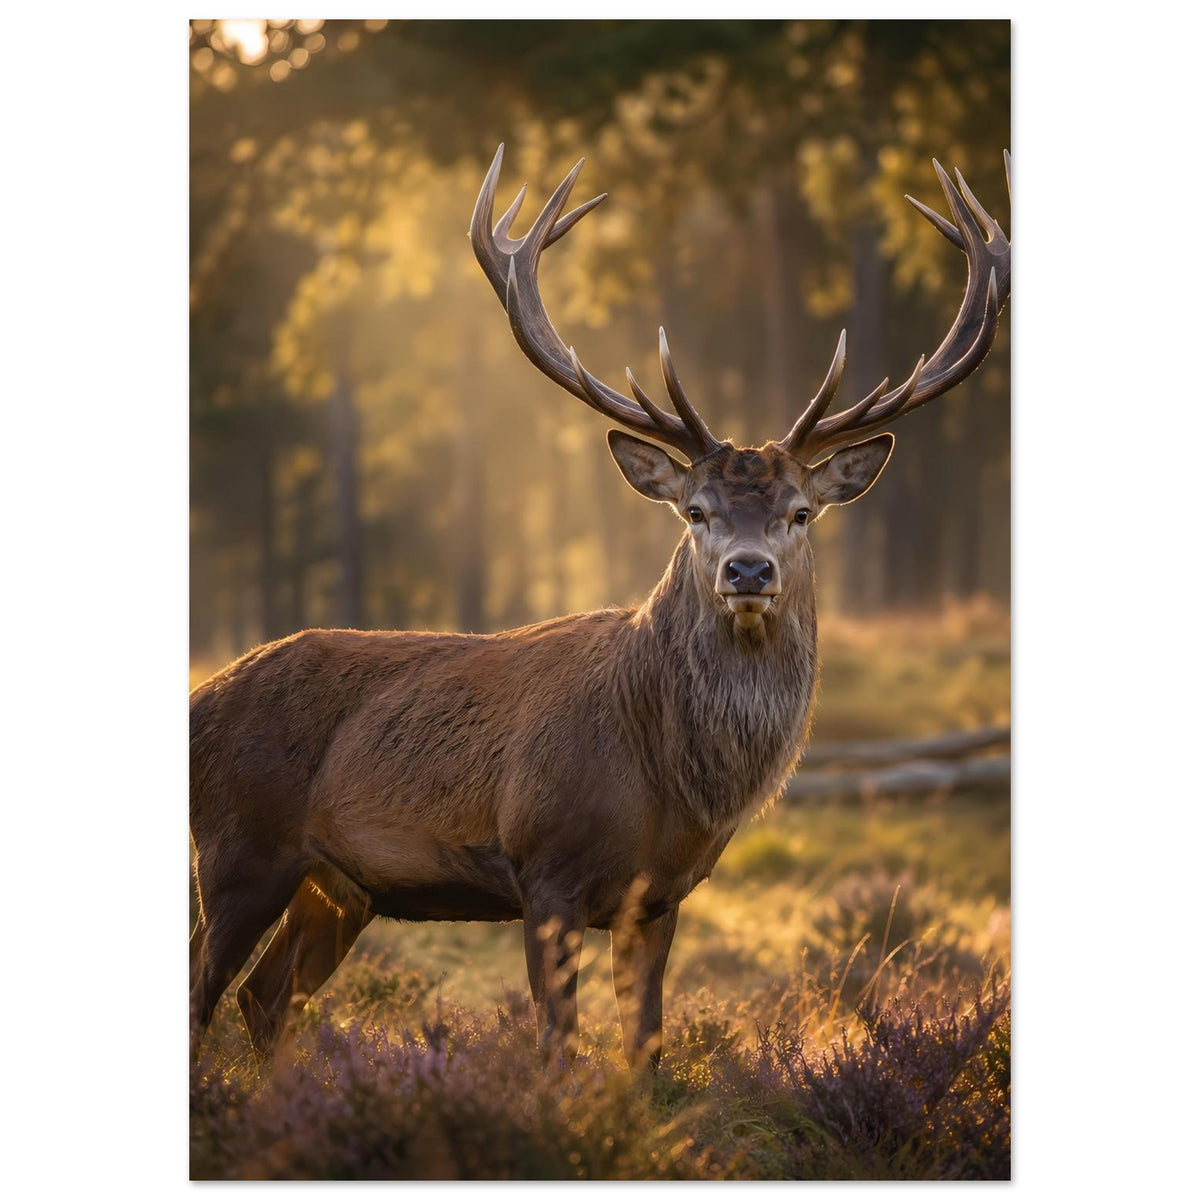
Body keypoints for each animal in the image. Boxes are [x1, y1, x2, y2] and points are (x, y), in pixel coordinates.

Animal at [190, 144, 1010, 1070]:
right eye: (696, 512)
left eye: (801, 512)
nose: (749, 570)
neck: (665, 777)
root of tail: (198, 699)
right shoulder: (545, 868)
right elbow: (555, 1044)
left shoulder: (661, 895)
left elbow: (643, 1047)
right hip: (238, 849)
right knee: (203, 992)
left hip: (341, 884)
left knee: (265, 997)